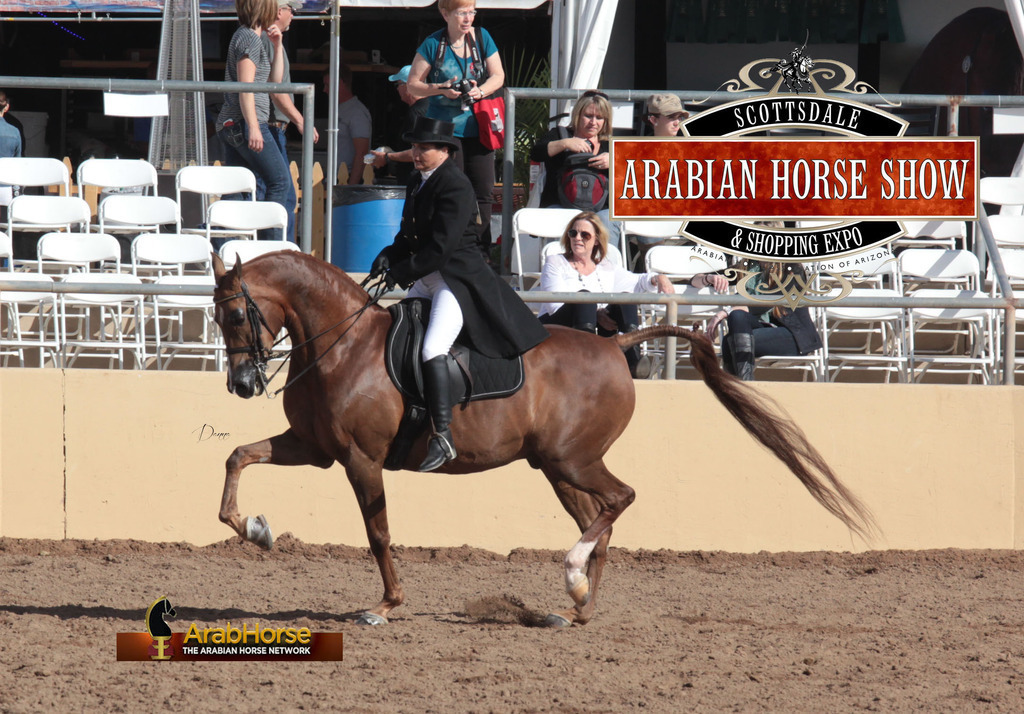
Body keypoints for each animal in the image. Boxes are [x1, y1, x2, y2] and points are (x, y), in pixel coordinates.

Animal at [211, 251, 875, 627]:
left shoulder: (360, 460)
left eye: (238, 314)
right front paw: (256, 530)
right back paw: (579, 604)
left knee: (619, 500)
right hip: (557, 467)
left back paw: (574, 576)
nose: (241, 384)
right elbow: (237, 456)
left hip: (571, 459)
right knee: (601, 518)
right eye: (218, 317)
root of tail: (615, 343)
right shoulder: (314, 449)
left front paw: (385, 606)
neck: (342, 344)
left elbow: (378, 534)